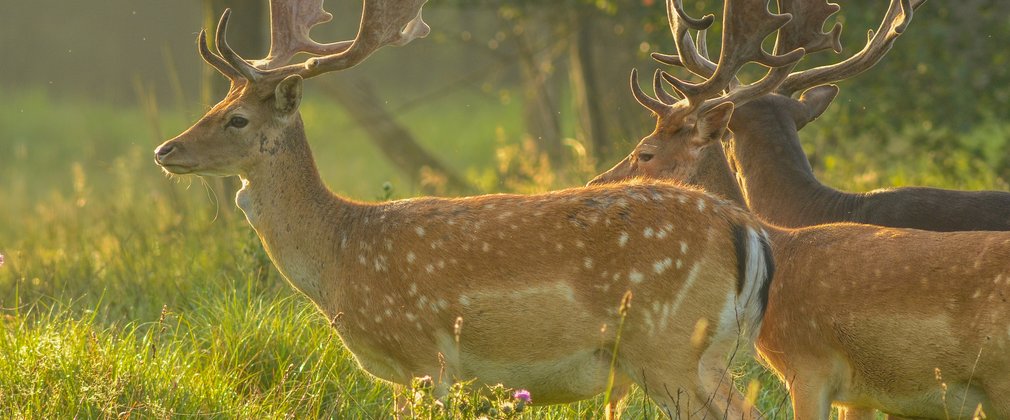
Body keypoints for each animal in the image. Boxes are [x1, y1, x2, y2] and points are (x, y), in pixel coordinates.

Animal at [153, 1, 775, 417]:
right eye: (217, 102)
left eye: (238, 119)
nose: (166, 150)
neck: (338, 254)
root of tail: (746, 229)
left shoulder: (424, 356)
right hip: (703, 354)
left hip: (667, 346)